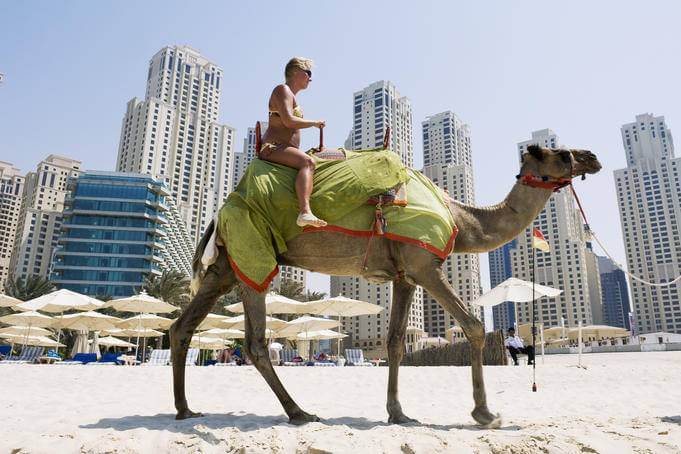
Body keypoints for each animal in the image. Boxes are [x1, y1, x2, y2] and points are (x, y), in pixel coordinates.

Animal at [170, 145, 600, 426]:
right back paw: (299, 412)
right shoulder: (425, 265)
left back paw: (185, 409)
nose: (592, 157)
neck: (464, 221)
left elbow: (395, 343)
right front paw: (485, 413)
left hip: (226, 264)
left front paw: (398, 413)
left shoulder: (404, 276)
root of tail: (221, 210)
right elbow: (474, 327)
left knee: (182, 326)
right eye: (561, 152)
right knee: (256, 341)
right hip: (254, 247)